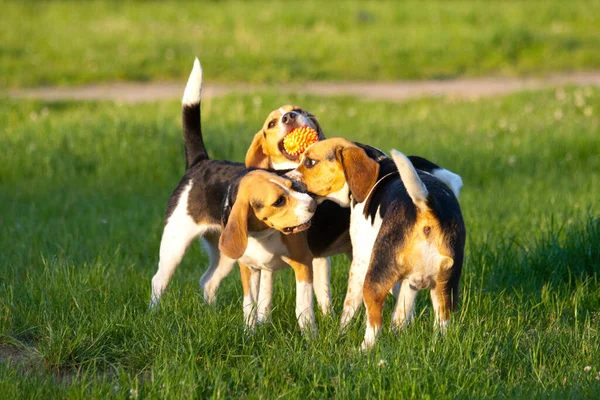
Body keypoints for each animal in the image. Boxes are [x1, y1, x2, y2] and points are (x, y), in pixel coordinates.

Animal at [150, 58, 322, 332]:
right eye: (279, 201)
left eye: (299, 110)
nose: (290, 116)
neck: (264, 233)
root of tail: (201, 161)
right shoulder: (251, 267)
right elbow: (252, 304)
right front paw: (252, 333)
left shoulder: (299, 262)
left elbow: (296, 305)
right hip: (175, 245)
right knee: (159, 280)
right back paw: (154, 314)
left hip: (224, 254)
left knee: (208, 281)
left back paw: (210, 313)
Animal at [288, 138, 466, 350]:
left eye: (310, 162)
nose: (286, 181)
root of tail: (425, 207)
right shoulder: (410, 282)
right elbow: (401, 314)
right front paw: (398, 335)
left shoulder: (360, 262)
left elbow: (349, 308)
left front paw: (340, 333)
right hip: (445, 287)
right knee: (443, 322)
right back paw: (436, 346)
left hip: (374, 279)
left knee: (374, 323)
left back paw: (362, 350)